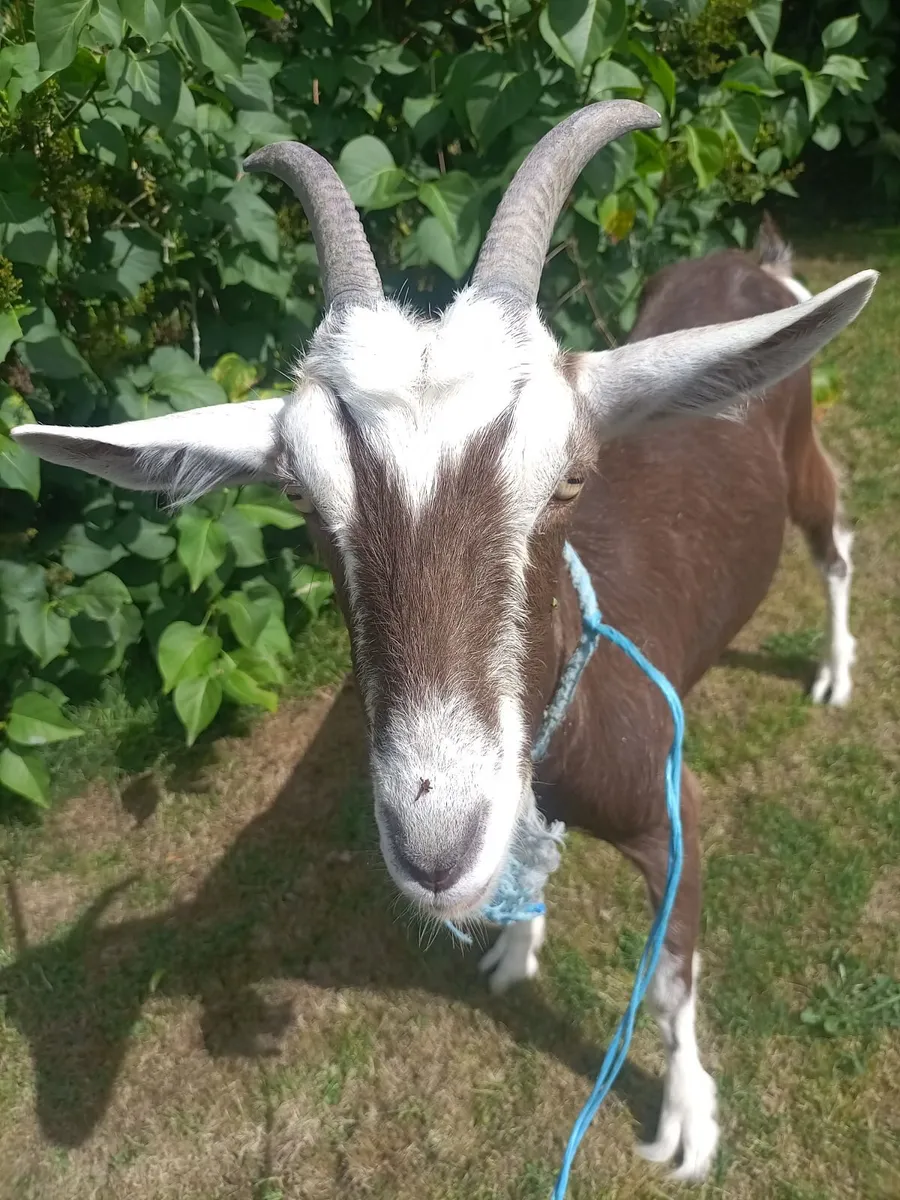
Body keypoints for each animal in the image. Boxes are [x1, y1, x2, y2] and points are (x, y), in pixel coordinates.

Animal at [14, 102, 876, 1181]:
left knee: (835, 535)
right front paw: (516, 946)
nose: (436, 849)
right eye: (303, 498)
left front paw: (687, 1121)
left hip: (803, 459)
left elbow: (674, 978)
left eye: (569, 476)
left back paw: (836, 672)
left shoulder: (673, 823)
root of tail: (753, 268)